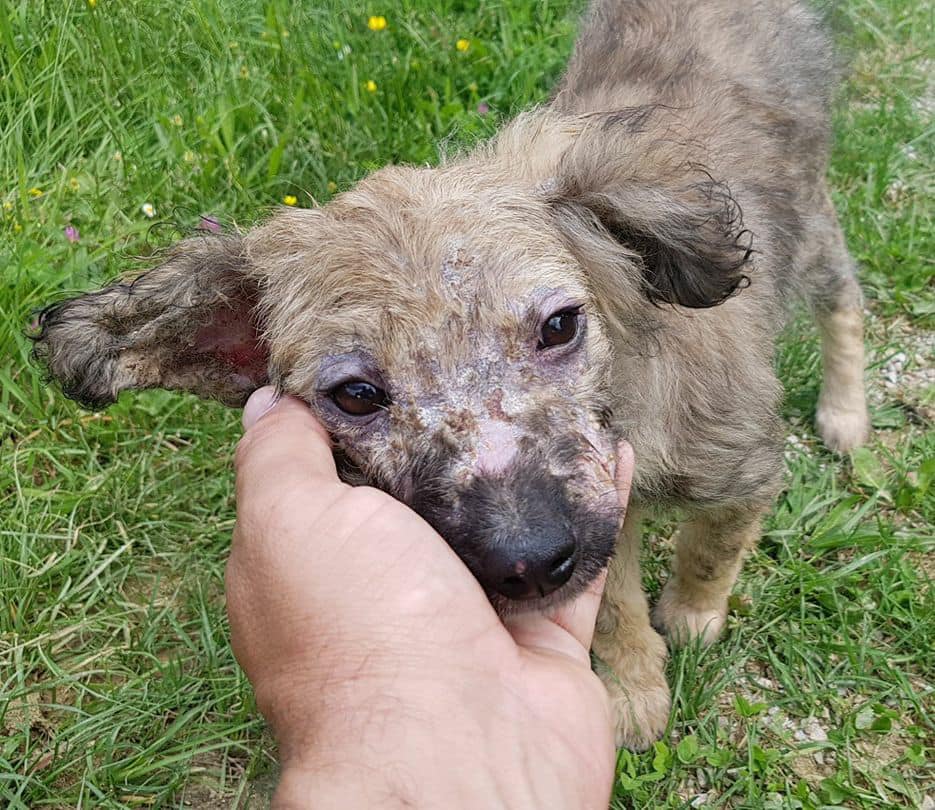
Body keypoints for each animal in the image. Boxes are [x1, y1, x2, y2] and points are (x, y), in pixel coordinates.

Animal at [34, 0, 872, 752]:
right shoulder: (608, 515)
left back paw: (845, 411)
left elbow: (710, 549)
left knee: (845, 302)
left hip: (814, 225)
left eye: (558, 326)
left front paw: (694, 615)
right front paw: (633, 687)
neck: (633, 400)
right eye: (356, 395)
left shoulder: (740, 467)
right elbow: (611, 604)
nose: (526, 562)